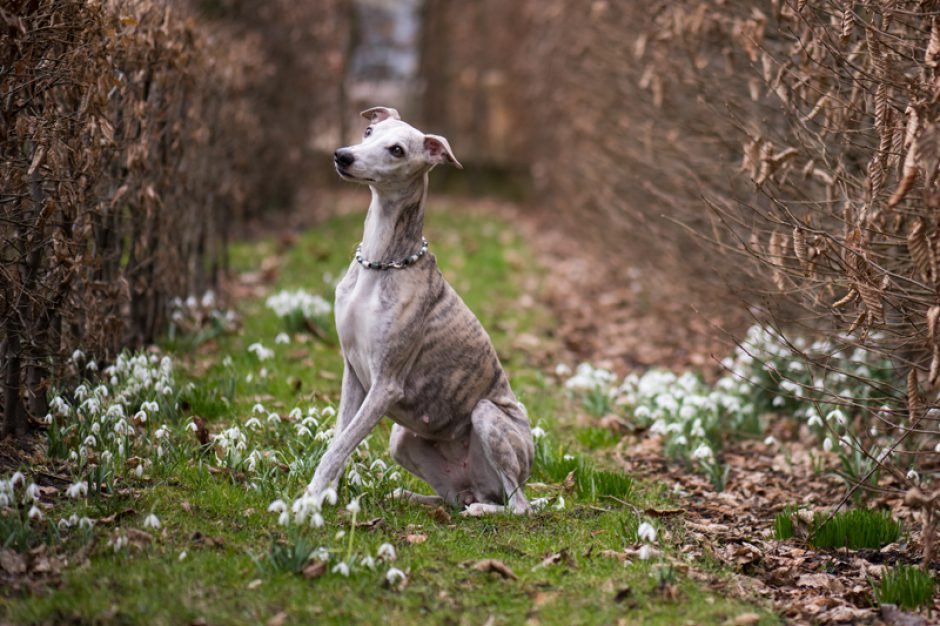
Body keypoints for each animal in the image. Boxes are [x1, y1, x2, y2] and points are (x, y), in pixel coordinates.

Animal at [304, 107, 532, 516]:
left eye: (396, 149)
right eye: (368, 130)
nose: (342, 156)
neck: (381, 264)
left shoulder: (386, 383)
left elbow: (339, 446)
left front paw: (307, 502)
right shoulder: (353, 371)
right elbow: (340, 439)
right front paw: (327, 497)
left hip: (487, 415)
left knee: (519, 506)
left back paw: (483, 511)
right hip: (402, 439)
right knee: (455, 499)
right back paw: (411, 496)